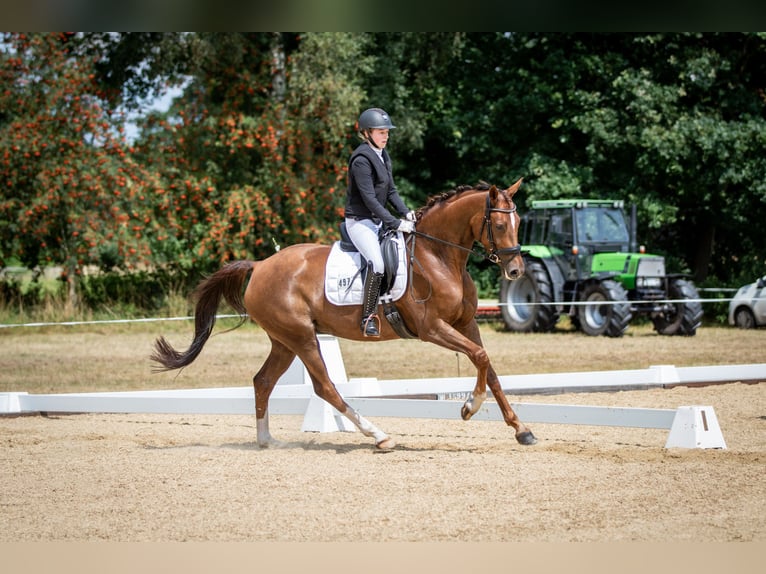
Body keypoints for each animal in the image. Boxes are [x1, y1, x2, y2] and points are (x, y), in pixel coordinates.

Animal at [153, 179, 540, 450]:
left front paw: (522, 429)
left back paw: (267, 440)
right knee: (325, 387)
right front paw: (469, 408)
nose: (516, 271)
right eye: (500, 226)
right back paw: (379, 436)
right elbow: (480, 357)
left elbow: (488, 366)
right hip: (303, 337)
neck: (439, 256)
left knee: (263, 381)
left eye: (519, 221)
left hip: (284, 341)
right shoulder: (432, 328)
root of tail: (261, 265)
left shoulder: (465, 323)